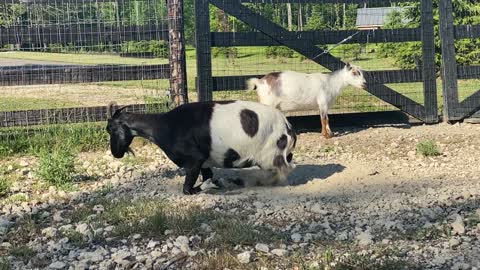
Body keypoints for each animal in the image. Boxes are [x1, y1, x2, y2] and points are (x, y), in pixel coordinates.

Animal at [106, 100, 296, 195]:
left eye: (110, 129)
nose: (116, 154)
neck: (163, 126)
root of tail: (287, 126)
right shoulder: (204, 163)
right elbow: (207, 176)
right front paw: (216, 182)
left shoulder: (194, 160)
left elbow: (187, 189)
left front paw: (214, 184)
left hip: (271, 155)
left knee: (284, 169)